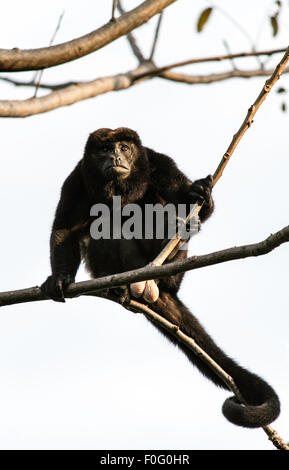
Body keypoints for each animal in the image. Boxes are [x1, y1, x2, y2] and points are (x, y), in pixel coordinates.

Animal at [41, 126, 280, 428]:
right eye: (104, 150)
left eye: (124, 147)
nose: (115, 157)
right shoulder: (76, 178)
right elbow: (65, 227)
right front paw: (59, 278)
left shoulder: (159, 162)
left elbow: (187, 203)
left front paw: (201, 193)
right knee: (106, 222)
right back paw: (119, 284)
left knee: (160, 211)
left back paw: (169, 252)